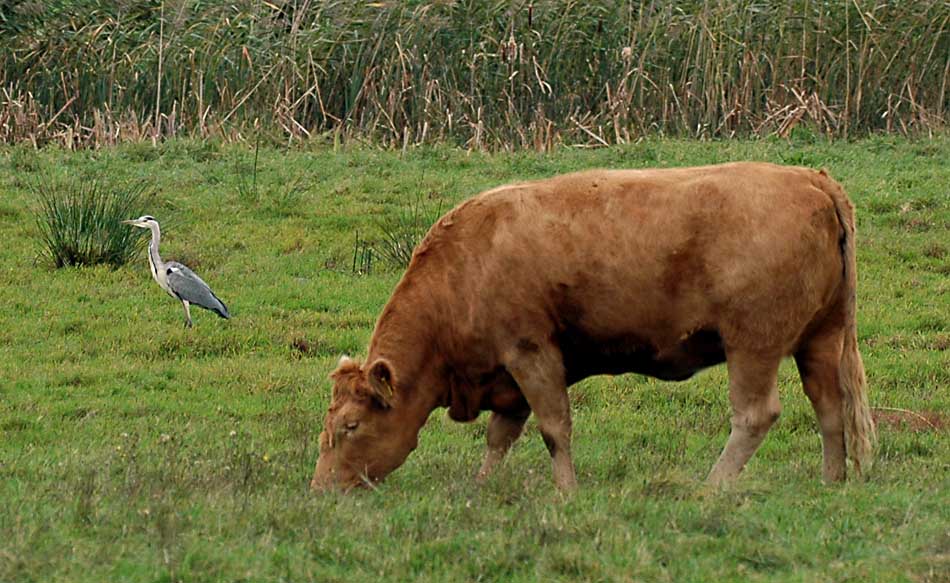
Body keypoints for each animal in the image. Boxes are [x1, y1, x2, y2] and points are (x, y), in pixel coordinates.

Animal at [312, 162, 876, 490]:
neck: (466, 266)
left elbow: (554, 427)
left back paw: (711, 487)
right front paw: (482, 487)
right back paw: (831, 482)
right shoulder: (509, 376)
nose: (321, 488)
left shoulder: (531, 352)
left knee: (756, 415)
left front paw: (566, 492)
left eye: (351, 426)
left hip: (752, 344)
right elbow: (501, 435)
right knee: (830, 407)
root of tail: (811, 179)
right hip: (820, 338)